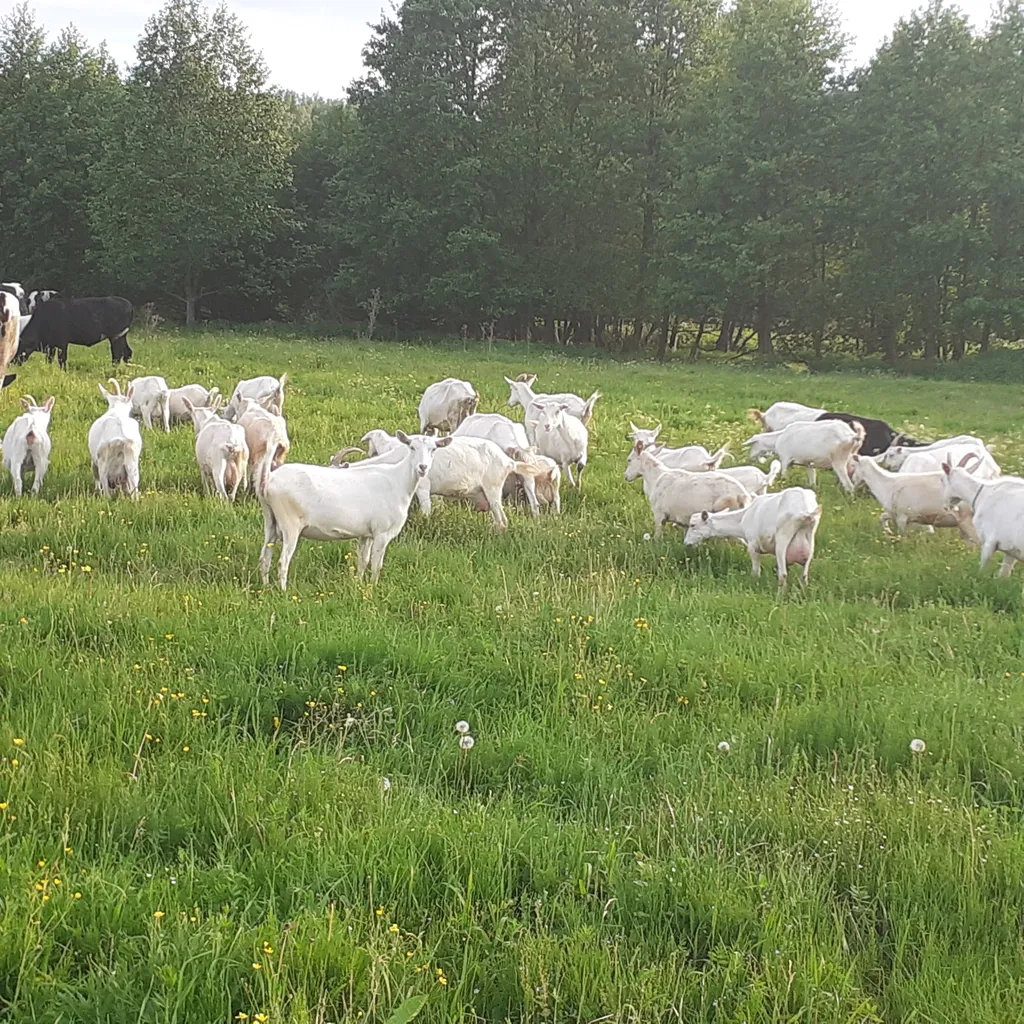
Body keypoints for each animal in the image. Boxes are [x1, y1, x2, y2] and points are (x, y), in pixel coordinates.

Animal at [260, 432, 452, 593]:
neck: (398, 481)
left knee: (265, 556)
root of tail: (269, 480)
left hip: (271, 521)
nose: (422, 467)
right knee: (282, 561)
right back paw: (284, 592)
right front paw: (373, 588)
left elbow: (363, 561)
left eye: (434, 449)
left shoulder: (366, 534)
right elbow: (376, 564)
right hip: (290, 525)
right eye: (411, 447)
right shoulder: (382, 533)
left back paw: (266, 586)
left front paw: (358, 584)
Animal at [622, 442, 753, 540]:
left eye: (629, 460)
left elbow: (658, 535)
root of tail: (743, 495)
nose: (626, 477)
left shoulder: (659, 513)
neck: (656, 477)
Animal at [684, 485, 819, 585]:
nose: (686, 543)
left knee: (783, 575)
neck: (742, 520)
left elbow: (756, 571)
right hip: (810, 540)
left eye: (692, 525)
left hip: (783, 537)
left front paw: (754, 584)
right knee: (804, 576)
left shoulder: (753, 545)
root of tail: (805, 511)